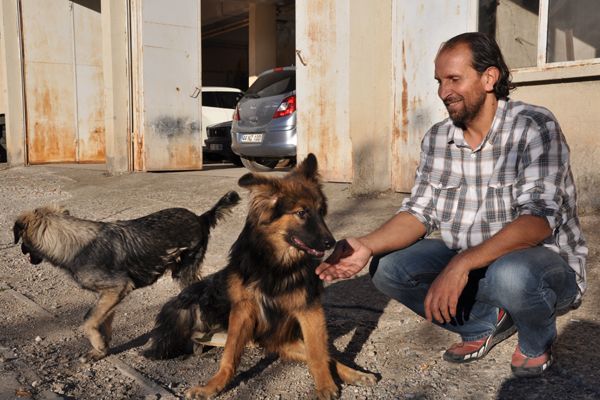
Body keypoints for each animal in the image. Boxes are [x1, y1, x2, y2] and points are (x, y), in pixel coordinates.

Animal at [12, 191, 238, 362]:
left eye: (22, 242)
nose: (24, 254)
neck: (72, 241)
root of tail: (200, 217)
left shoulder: (117, 287)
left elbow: (88, 320)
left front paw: (98, 344)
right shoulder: (109, 294)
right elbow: (103, 320)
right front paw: (101, 349)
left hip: (184, 272)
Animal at [148, 154, 376, 400]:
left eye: (321, 211)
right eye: (301, 213)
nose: (331, 243)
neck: (276, 264)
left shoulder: (306, 312)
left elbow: (319, 353)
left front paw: (326, 383)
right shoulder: (244, 311)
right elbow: (230, 356)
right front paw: (213, 386)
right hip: (188, 308)